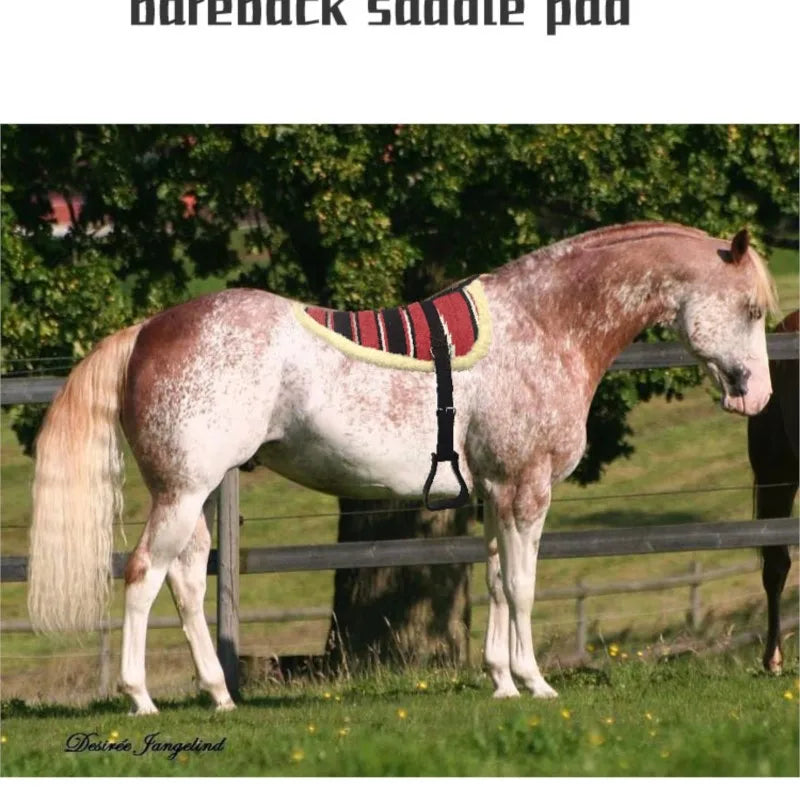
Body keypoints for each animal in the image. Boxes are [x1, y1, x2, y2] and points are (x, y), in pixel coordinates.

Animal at [27, 221, 778, 714]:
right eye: (748, 308)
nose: (757, 396)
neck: (545, 325)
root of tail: (150, 330)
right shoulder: (526, 488)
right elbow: (525, 587)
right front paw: (536, 682)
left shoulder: (495, 494)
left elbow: (498, 584)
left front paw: (501, 681)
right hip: (182, 491)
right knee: (142, 576)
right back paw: (141, 699)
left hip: (196, 493)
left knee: (183, 580)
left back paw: (219, 695)